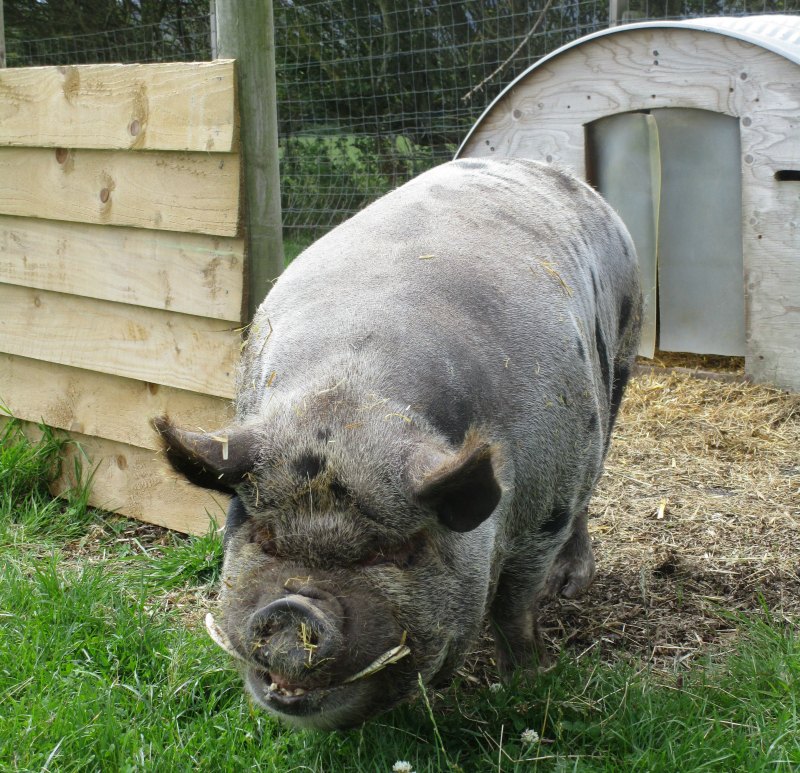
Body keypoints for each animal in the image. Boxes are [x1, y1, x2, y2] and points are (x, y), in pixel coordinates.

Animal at [155, 158, 644, 728]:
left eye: (390, 552)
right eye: (265, 539)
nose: (292, 610)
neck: (353, 398)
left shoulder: (548, 503)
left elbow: (513, 605)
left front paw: (526, 681)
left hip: (619, 367)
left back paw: (568, 585)